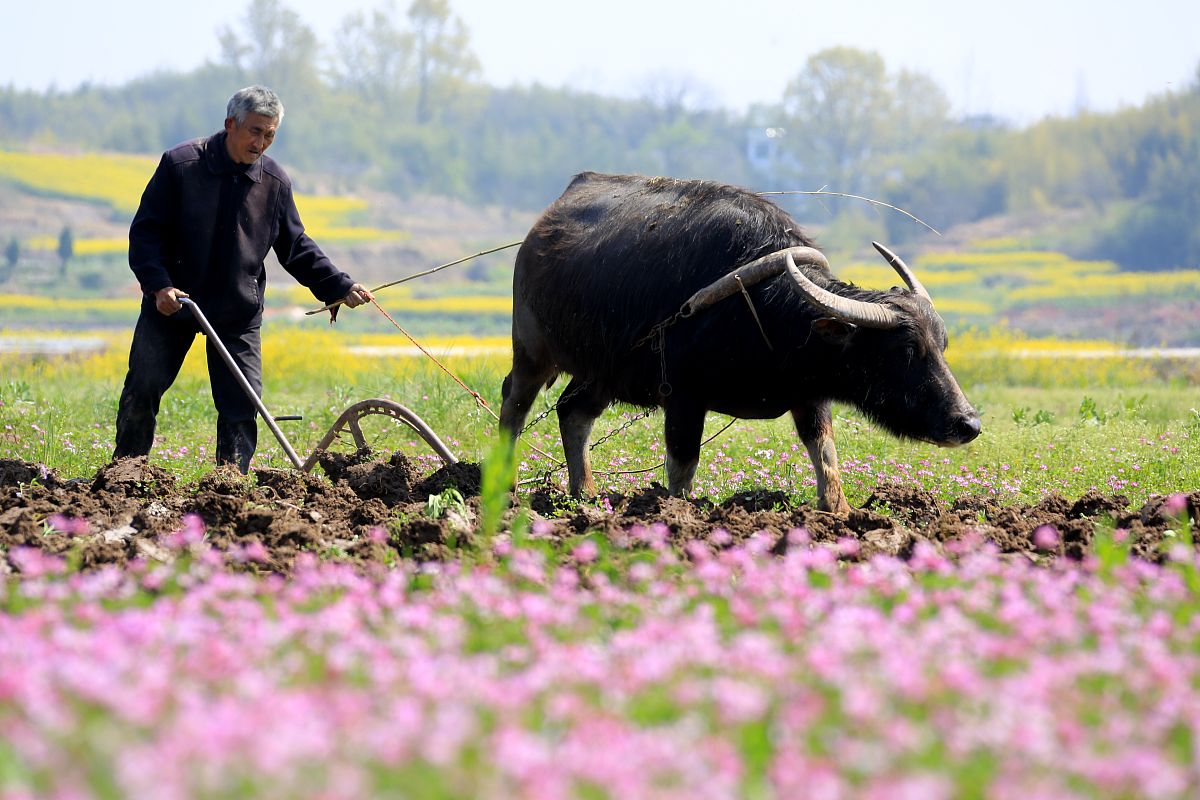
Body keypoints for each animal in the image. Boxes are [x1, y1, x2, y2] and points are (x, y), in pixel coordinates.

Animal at [496, 172, 974, 515]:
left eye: (942, 345)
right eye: (906, 351)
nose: (967, 423)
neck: (766, 312)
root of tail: (538, 232)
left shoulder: (809, 395)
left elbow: (825, 452)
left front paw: (837, 510)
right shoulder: (683, 398)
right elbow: (683, 465)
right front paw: (678, 512)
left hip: (604, 372)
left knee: (572, 411)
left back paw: (586, 494)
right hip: (532, 350)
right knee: (514, 405)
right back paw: (507, 486)